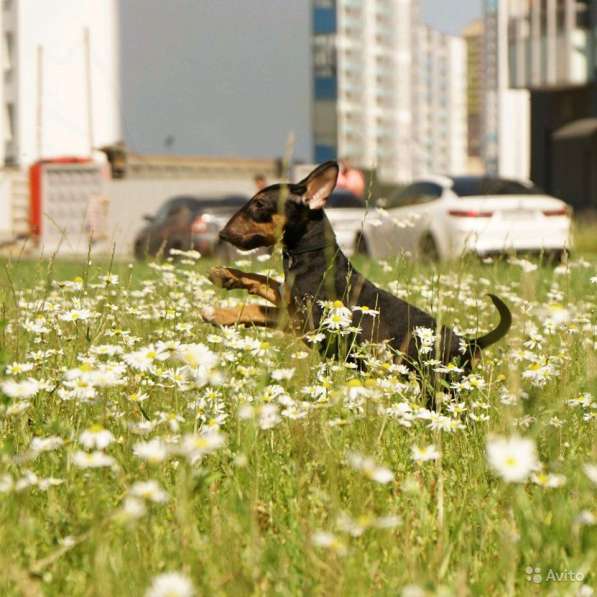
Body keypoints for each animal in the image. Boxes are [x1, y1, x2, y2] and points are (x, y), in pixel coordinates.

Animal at [204, 161, 508, 370]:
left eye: (259, 204)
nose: (222, 234)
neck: (311, 256)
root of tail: (469, 344)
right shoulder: (289, 300)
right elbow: (264, 282)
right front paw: (225, 277)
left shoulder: (306, 323)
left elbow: (259, 307)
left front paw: (217, 313)